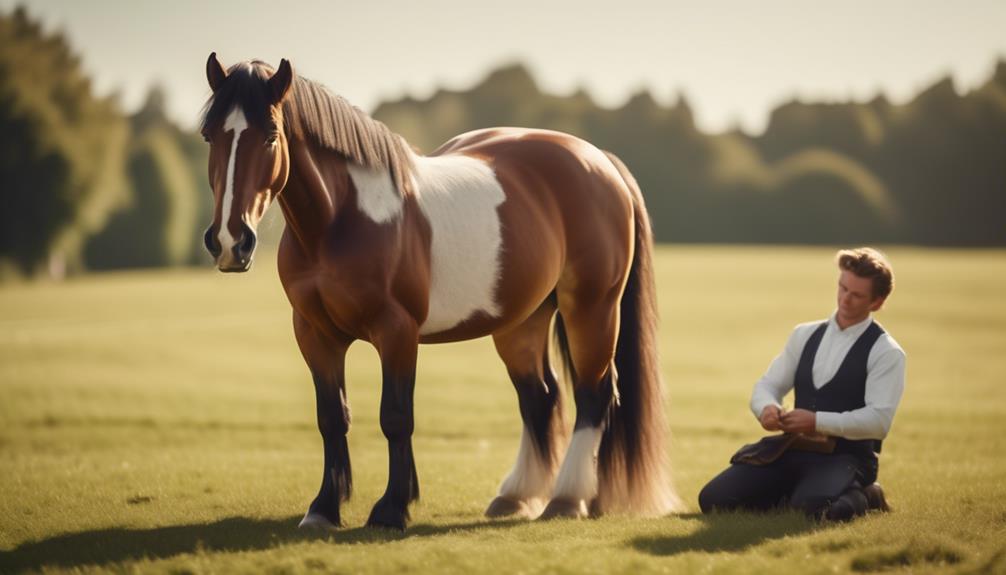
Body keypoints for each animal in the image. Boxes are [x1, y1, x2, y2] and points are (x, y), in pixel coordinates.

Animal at [199, 53, 680, 530]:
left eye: (271, 136)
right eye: (209, 135)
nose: (229, 241)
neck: (341, 221)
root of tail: (599, 160)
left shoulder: (396, 332)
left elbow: (395, 417)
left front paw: (391, 509)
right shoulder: (315, 334)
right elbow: (332, 417)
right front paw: (323, 508)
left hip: (592, 309)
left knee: (593, 394)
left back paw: (567, 499)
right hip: (522, 320)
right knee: (540, 397)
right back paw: (517, 496)